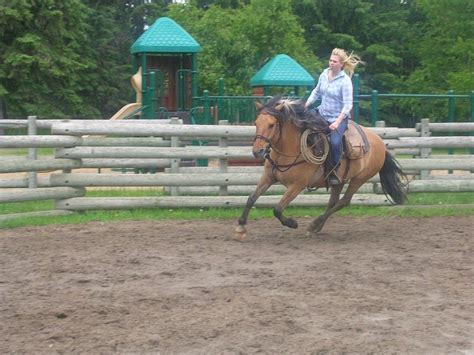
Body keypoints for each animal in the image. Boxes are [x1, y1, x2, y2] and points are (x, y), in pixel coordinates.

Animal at [235, 96, 410, 241]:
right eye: (256, 123)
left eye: (271, 125)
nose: (257, 151)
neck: (291, 149)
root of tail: (380, 143)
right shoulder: (268, 177)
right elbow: (251, 199)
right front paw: (240, 227)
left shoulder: (297, 186)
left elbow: (277, 209)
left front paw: (292, 223)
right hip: (339, 180)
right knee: (333, 201)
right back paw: (317, 226)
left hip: (359, 179)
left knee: (344, 202)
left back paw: (314, 224)